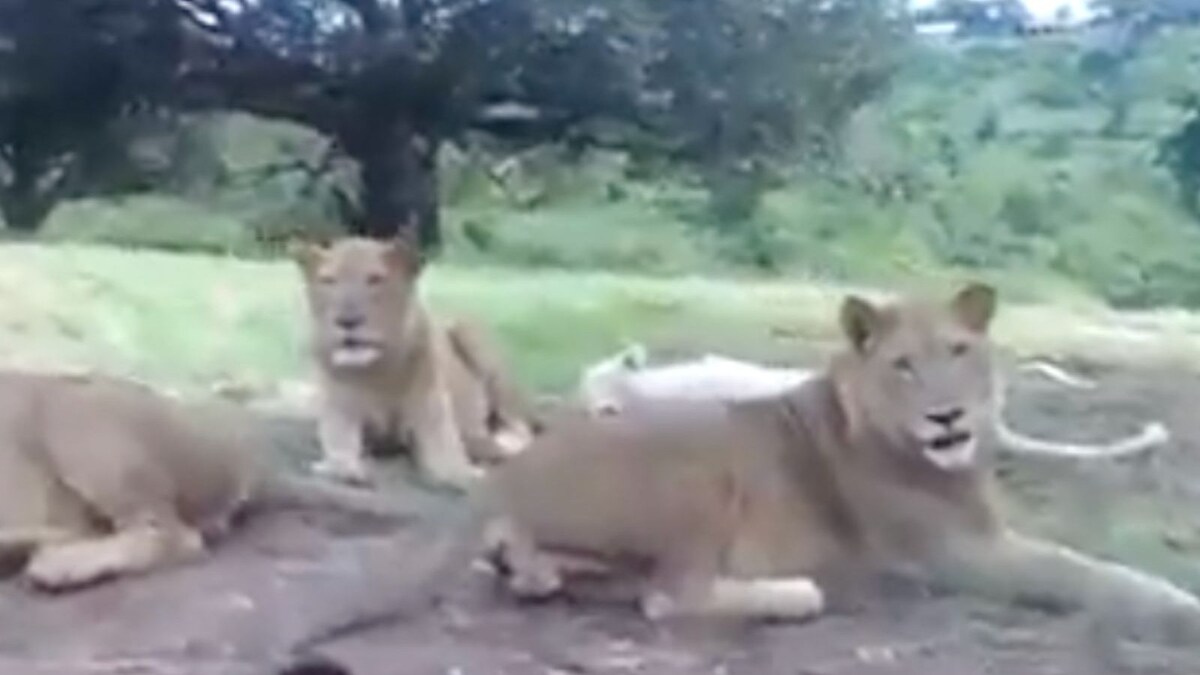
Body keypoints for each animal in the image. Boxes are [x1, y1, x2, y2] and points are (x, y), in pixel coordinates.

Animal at [290, 235, 535, 487]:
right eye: (328, 280)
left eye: (375, 279)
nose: (347, 321)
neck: (377, 373)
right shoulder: (340, 414)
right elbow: (339, 456)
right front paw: (345, 468)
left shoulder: (432, 421)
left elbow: (452, 469)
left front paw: (472, 472)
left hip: (471, 334)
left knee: (519, 429)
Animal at [482, 282, 1200, 638]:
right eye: (903, 365)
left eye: (959, 350)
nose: (948, 416)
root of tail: (504, 494)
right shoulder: (953, 551)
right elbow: (1083, 571)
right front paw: (1178, 606)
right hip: (702, 471)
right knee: (669, 598)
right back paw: (797, 593)